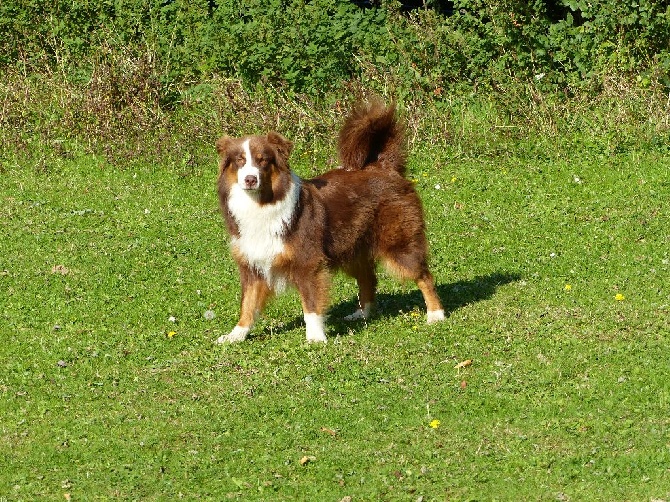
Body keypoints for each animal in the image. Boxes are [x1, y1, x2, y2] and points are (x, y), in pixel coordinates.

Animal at [217, 101, 446, 346]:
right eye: (240, 161)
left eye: (263, 160)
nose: (250, 179)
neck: (262, 203)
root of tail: (384, 166)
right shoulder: (252, 263)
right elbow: (247, 304)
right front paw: (236, 334)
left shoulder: (307, 262)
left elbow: (310, 305)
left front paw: (315, 337)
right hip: (352, 247)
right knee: (368, 278)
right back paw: (362, 314)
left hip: (398, 245)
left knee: (424, 276)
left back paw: (436, 314)